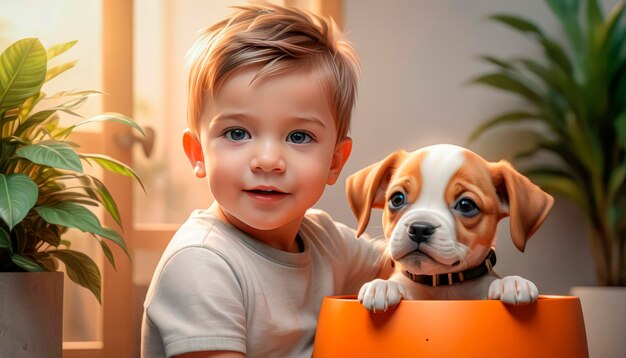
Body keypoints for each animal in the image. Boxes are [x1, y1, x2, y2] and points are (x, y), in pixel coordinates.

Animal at [348, 145, 552, 310]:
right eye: (397, 199)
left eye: (466, 205)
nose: (419, 228)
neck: (443, 287)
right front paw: (382, 285)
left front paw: (512, 282)